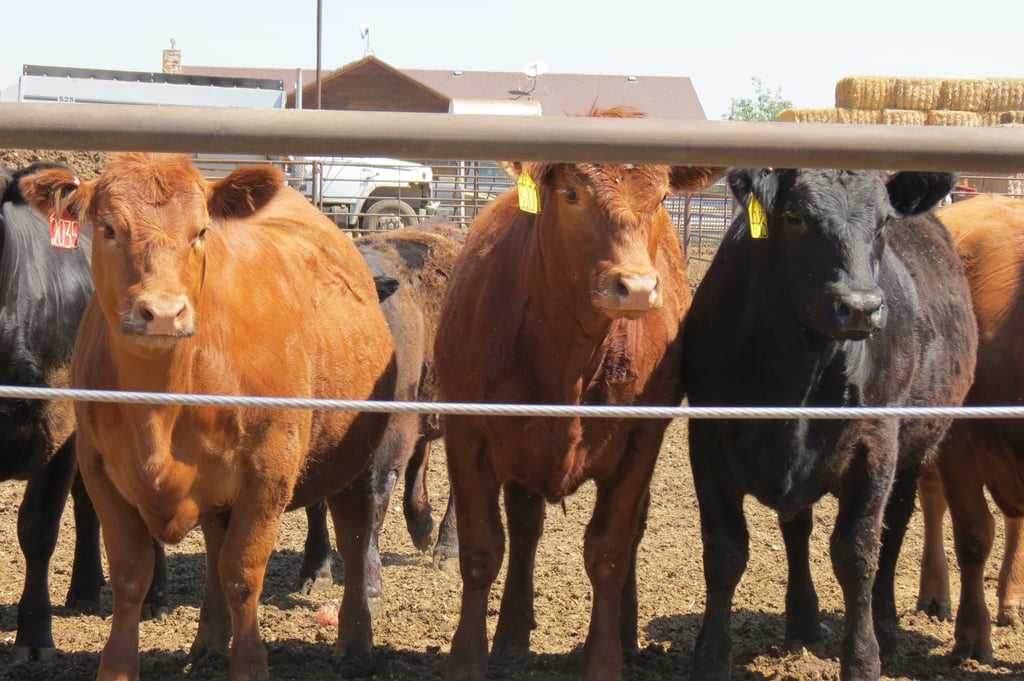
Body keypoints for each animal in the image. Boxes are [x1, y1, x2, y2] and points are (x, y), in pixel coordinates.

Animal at [20, 152, 396, 681]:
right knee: (217, 546)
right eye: (109, 228)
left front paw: (251, 665)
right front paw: (118, 667)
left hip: (357, 458)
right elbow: (132, 575)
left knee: (356, 536)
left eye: (200, 231)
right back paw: (210, 642)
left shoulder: (269, 473)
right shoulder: (100, 472)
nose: (163, 312)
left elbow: (242, 575)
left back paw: (356, 642)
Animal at [299, 222, 462, 600]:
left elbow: (373, 502)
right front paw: (316, 569)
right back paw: (421, 524)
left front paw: (368, 585)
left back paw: (447, 547)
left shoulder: (391, 433)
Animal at [434, 106, 723, 681]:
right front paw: (469, 658)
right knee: (525, 527)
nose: (637, 287)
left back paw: (627, 633)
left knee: (626, 535)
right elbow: (481, 550)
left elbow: (610, 550)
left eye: (661, 198)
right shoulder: (468, 433)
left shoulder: (641, 442)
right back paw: (512, 630)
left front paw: (605, 658)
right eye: (571, 194)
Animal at [682, 168, 977, 681]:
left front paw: (862, 659)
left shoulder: (875, 448)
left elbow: (857, 554)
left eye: (883, 222)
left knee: (892, 534)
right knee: (797, 530)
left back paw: (887, 629)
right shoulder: (708, 441)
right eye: (796, 217)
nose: (860, 306)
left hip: (911, 455)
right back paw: (802, 622)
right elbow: (725, 553)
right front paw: (711, 658)